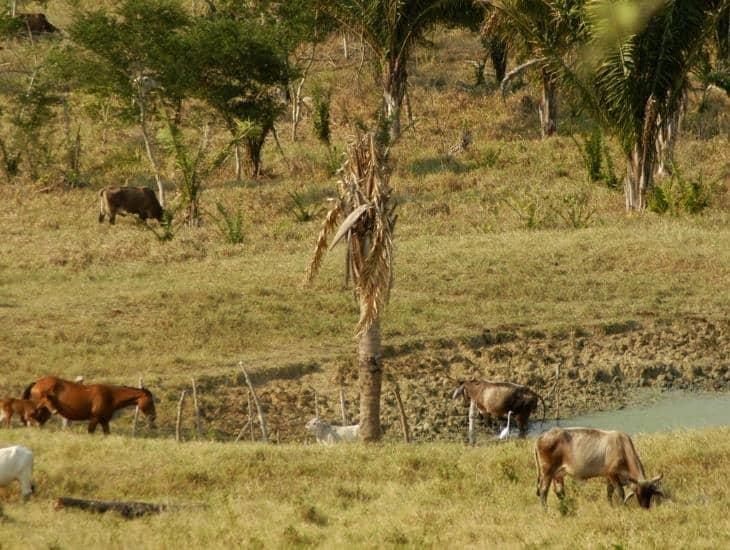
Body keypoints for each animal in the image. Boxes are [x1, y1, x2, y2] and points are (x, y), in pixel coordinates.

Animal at [532, 430, 664, 512]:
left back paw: (566, 506)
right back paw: (545, 511)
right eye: (638, 493)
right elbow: (620, 492)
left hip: (558, 474)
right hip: (547, 472)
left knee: (559, 492)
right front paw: (623, 506)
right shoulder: (612, 474)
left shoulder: (608, 476)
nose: (645, 508)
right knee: (543, 491)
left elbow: (609, 492)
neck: (622, 447)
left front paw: (611, 505)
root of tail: (540, 438)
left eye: (650, 493)